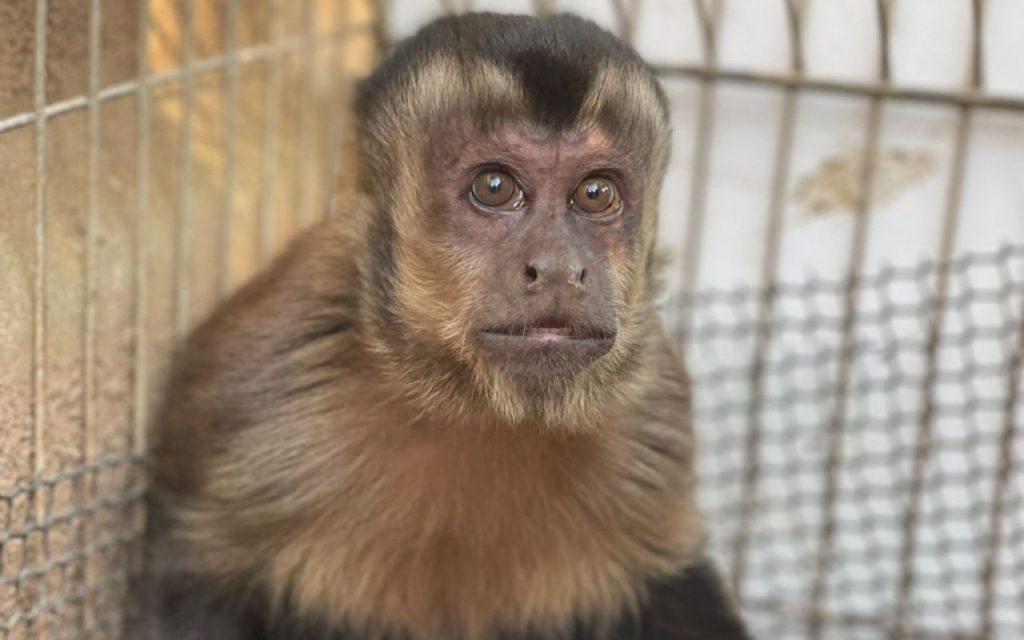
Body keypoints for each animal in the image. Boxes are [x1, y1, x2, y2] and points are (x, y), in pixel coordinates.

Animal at [144, 9, 753, 638]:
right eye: (495, 187)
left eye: (595, 193)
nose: (560, 268)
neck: (473, 405)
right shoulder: (260, 395)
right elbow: (200, 585)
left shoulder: (653, 414)